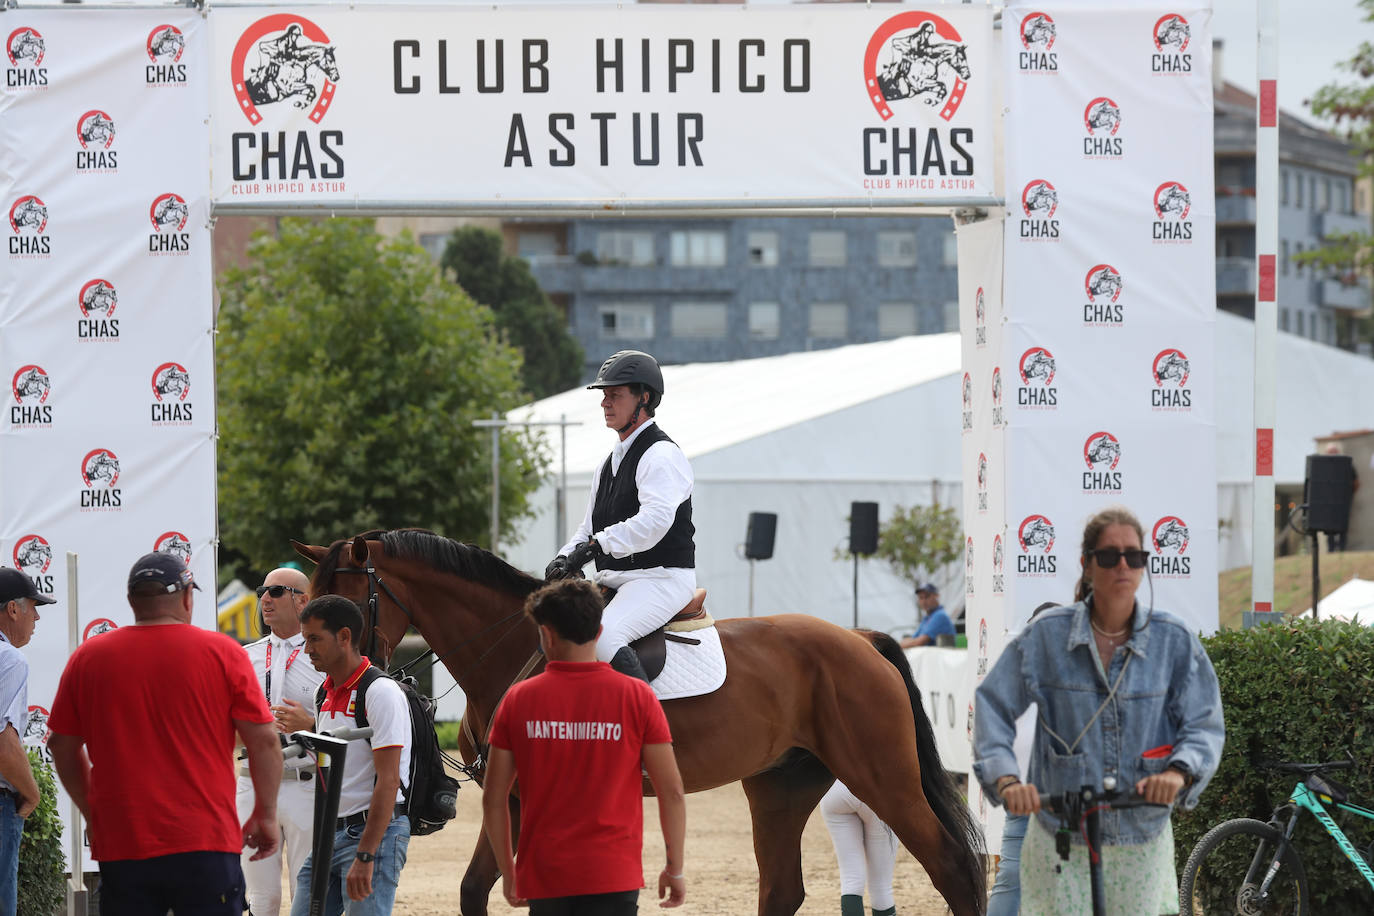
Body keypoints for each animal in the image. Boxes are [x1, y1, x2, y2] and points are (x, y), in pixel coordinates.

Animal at [298, 530, 989, 916]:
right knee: (782, 890)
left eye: (347, 601)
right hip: (781, 786)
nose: (336, 670)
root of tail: (860, 639)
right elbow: (474, 892)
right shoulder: (510, 797)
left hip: (882, 777)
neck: (515, 644)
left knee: (953, 865)